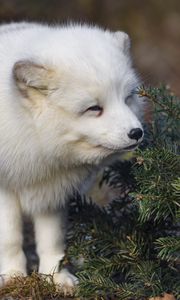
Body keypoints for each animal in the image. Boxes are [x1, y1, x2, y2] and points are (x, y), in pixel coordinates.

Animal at [0, 22, 143, 290]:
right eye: (94, 108)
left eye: (127, 98)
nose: (137, 133)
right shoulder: (4, 191)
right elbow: (10, 240)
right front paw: (13, 277)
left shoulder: (52, 193)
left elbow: (52, 241)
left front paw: (55, 277)